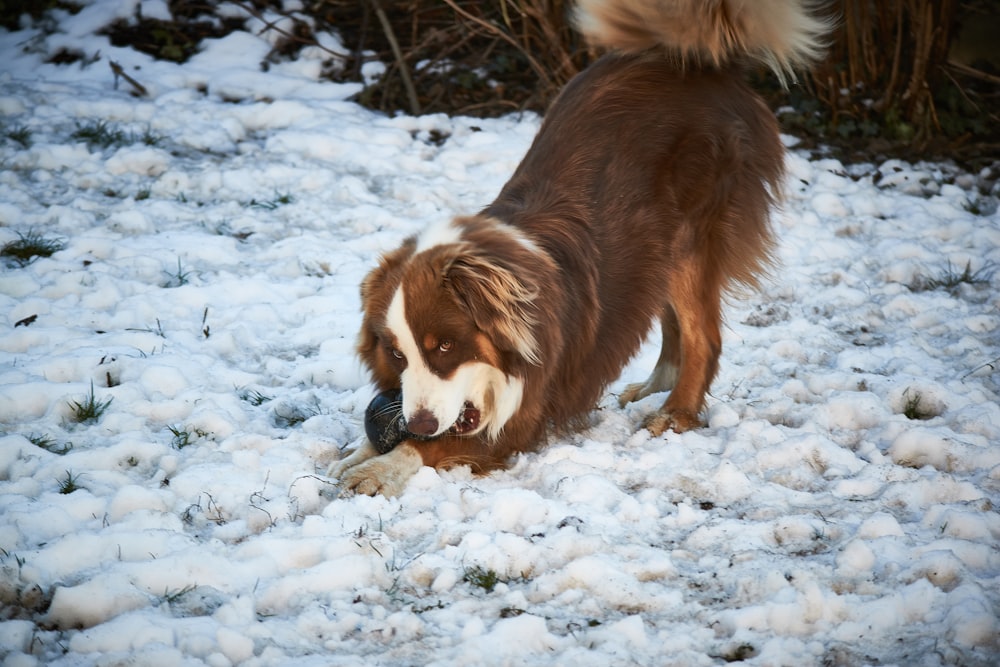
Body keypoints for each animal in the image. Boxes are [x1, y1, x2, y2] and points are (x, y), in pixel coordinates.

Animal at [328, 0, 828, 494]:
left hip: (693, 232)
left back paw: (675, 412)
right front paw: (356, 454)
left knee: (703, 334)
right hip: (655, 250)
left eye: (446, 347)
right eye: (396, 354)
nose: (421, 422)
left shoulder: (525, 413)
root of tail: (696, 61)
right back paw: (654, 387)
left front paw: (378, 469)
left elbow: (430, 448)